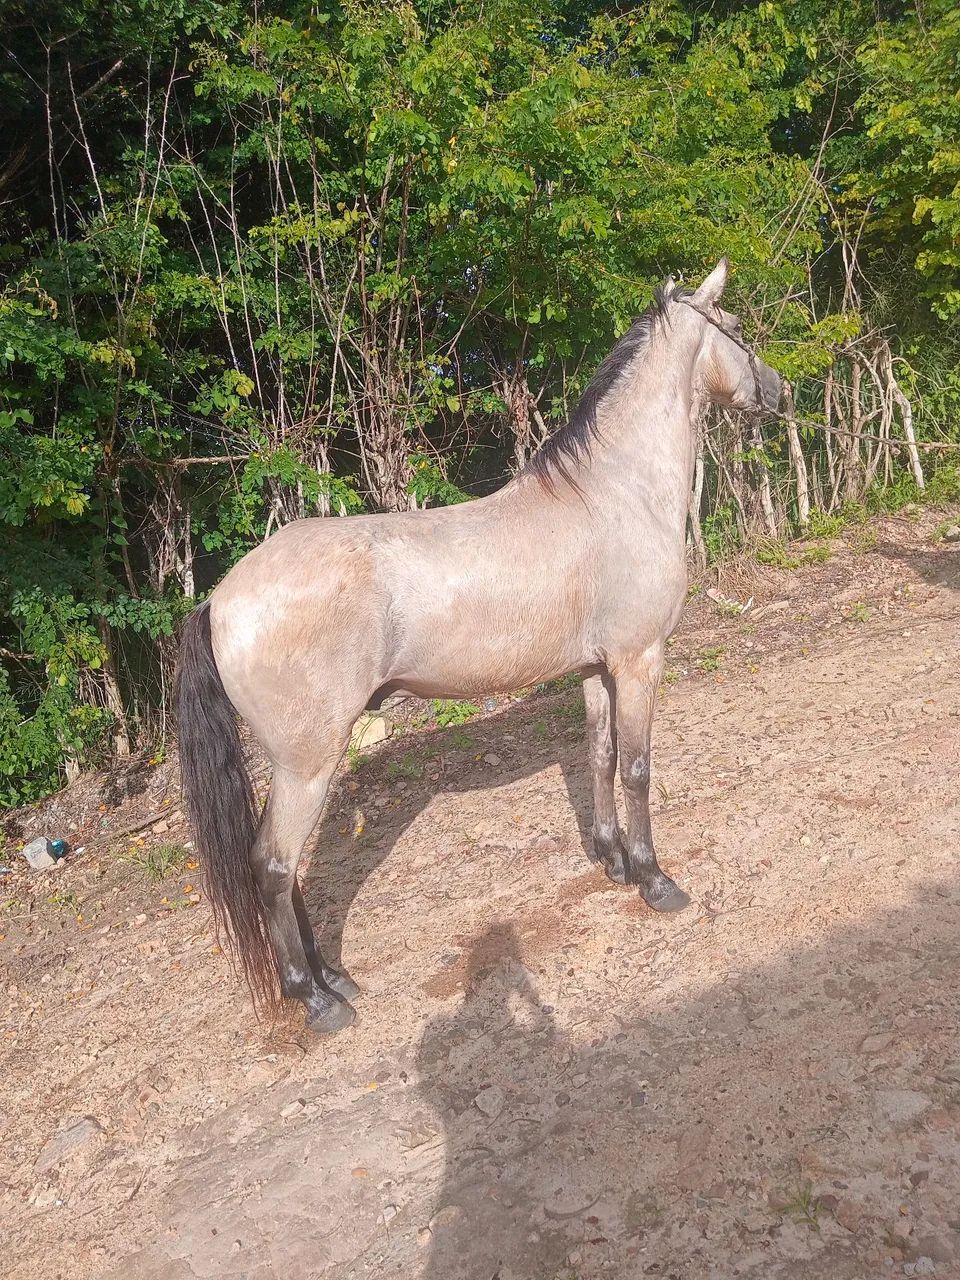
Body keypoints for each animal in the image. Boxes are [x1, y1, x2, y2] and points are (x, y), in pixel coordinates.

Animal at [176, 258, 783, 1034]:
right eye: (734, 329)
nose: (779, 391)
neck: (613, 494)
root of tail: (218, 599)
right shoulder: (641, 660)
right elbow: (639, 769)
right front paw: (654, 878)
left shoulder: (597, 669)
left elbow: (600, 757)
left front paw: (613, 861)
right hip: (306, 763)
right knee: (275, 866)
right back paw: (314, 997)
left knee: (288, 868)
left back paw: (335, 977)